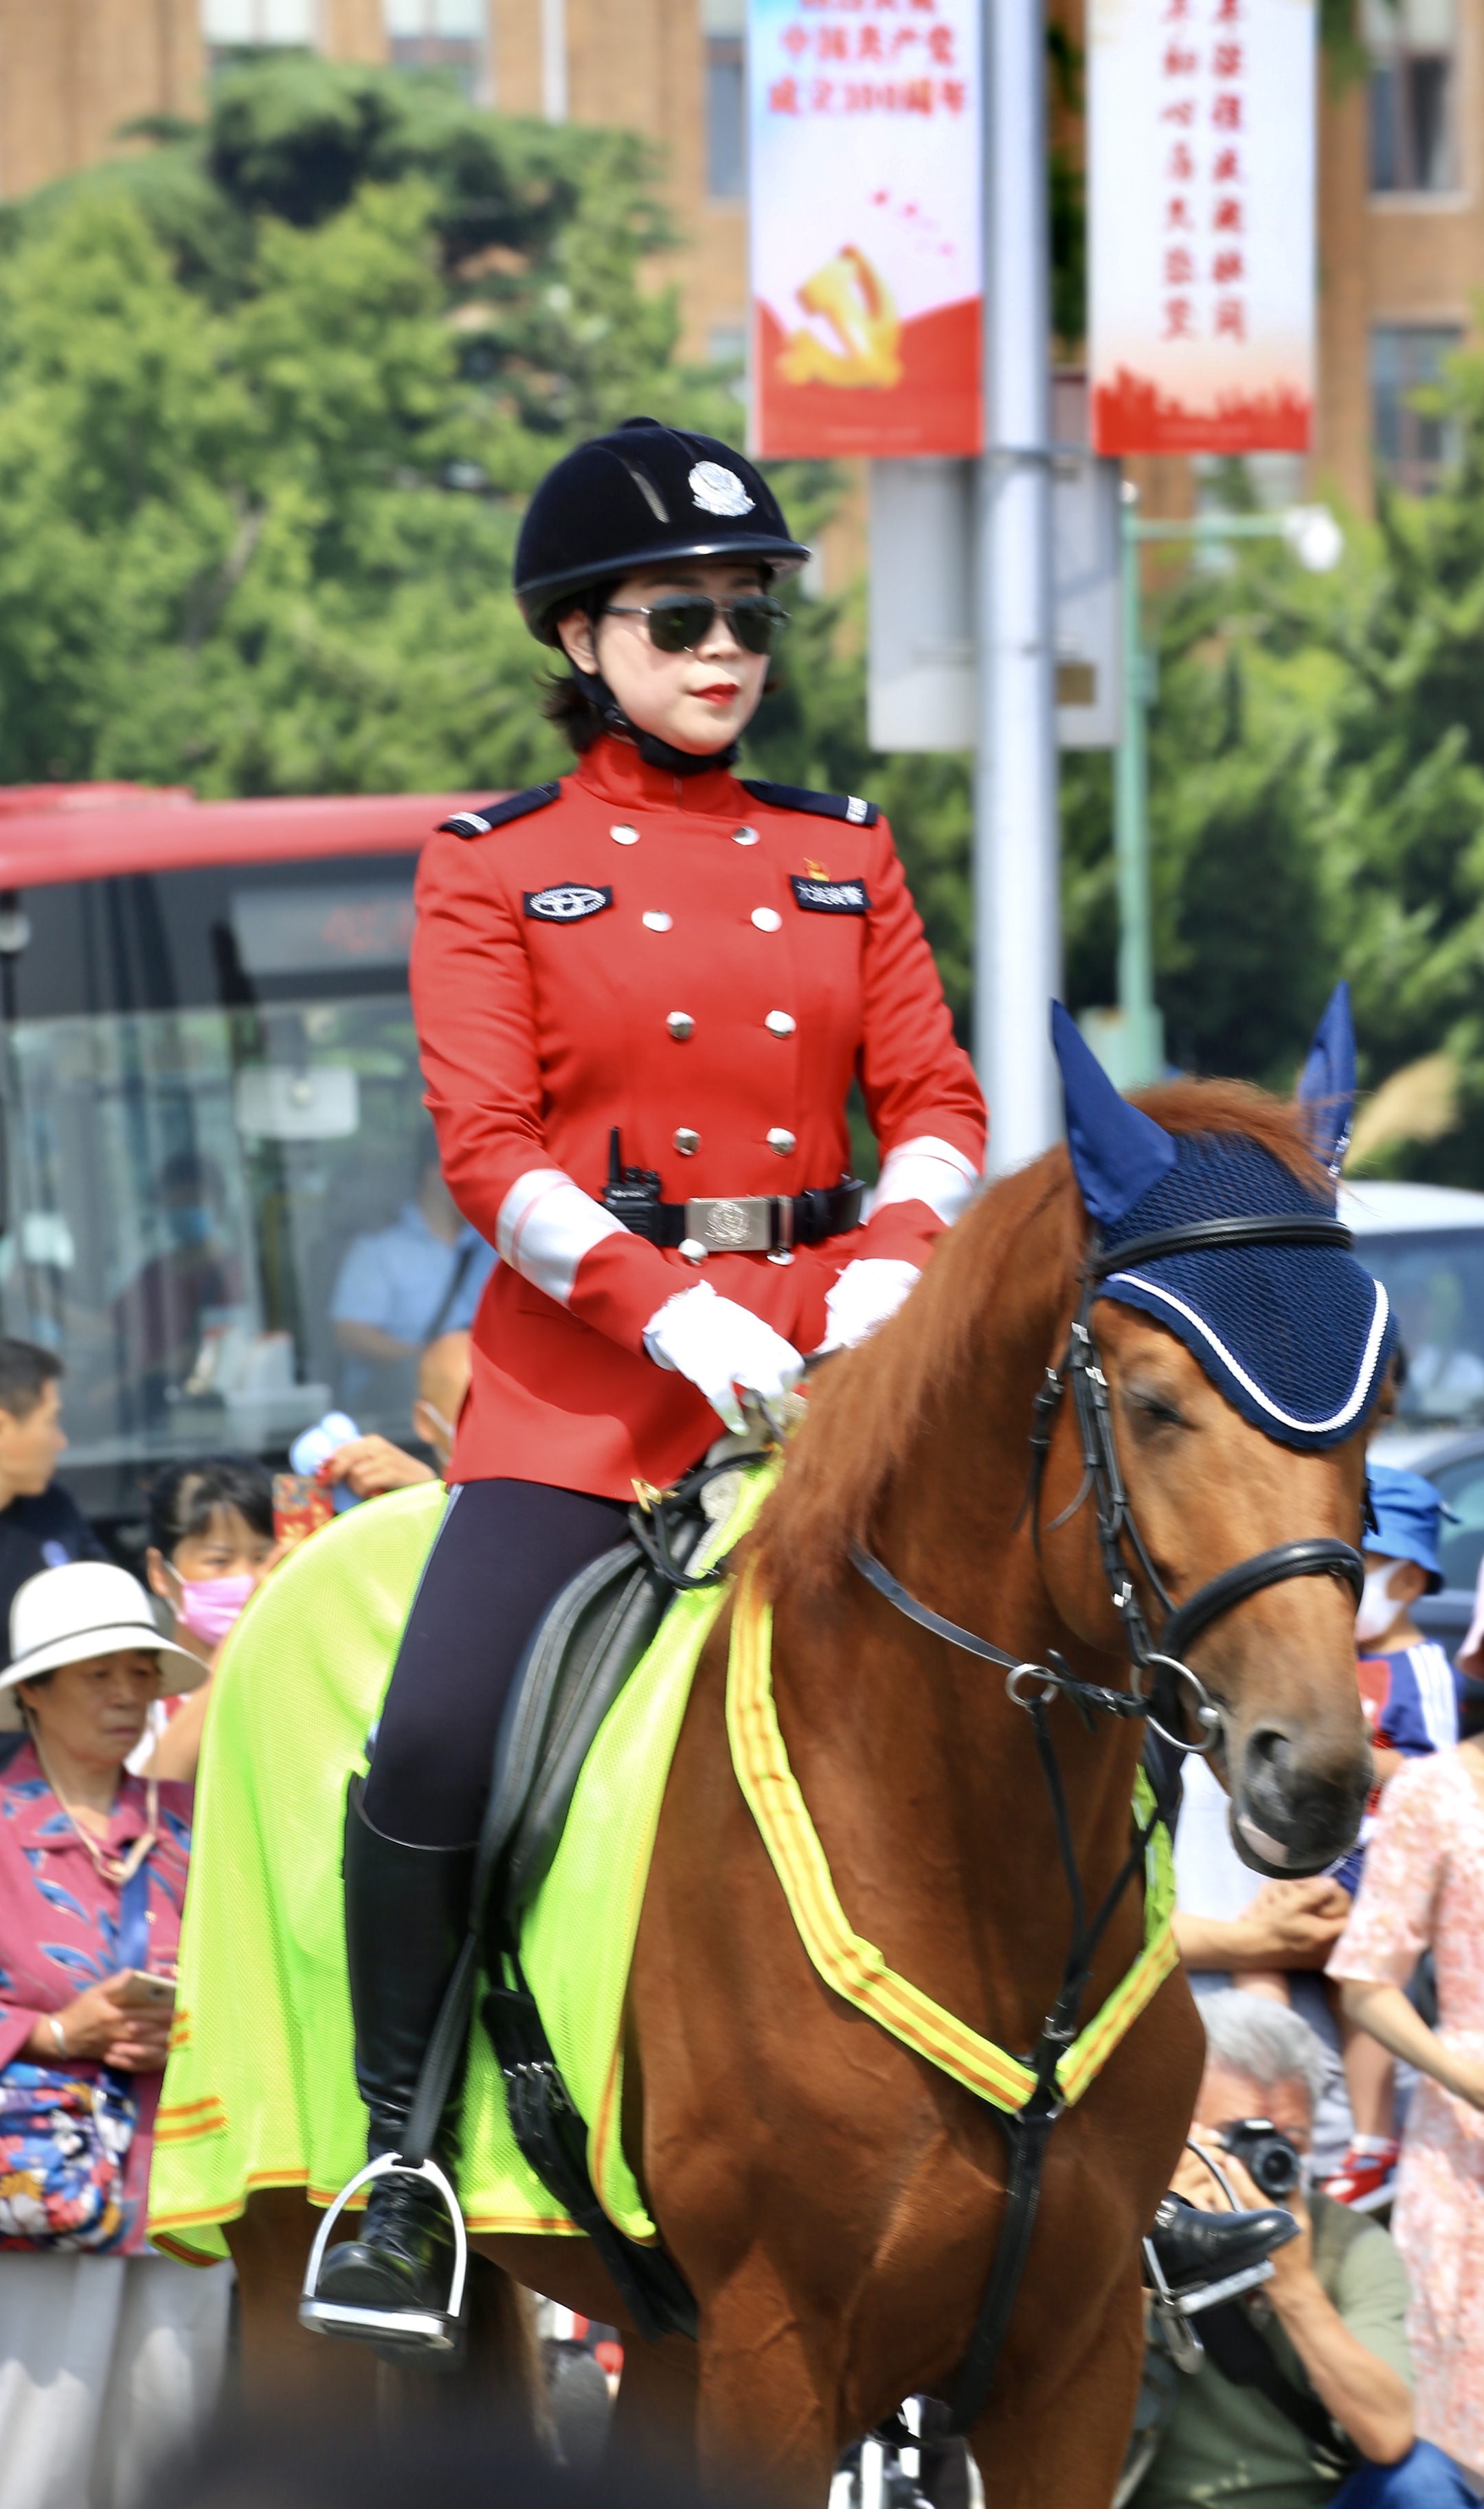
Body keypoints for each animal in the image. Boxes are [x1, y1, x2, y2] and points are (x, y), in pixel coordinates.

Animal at [225, 1073, 1373, 2488]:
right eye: (1156, 1404)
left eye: (1374, 1399)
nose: (1312, 1772)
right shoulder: (779, 2353)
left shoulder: (1075, 2366)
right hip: (280, 2250)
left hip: (665, 2343)